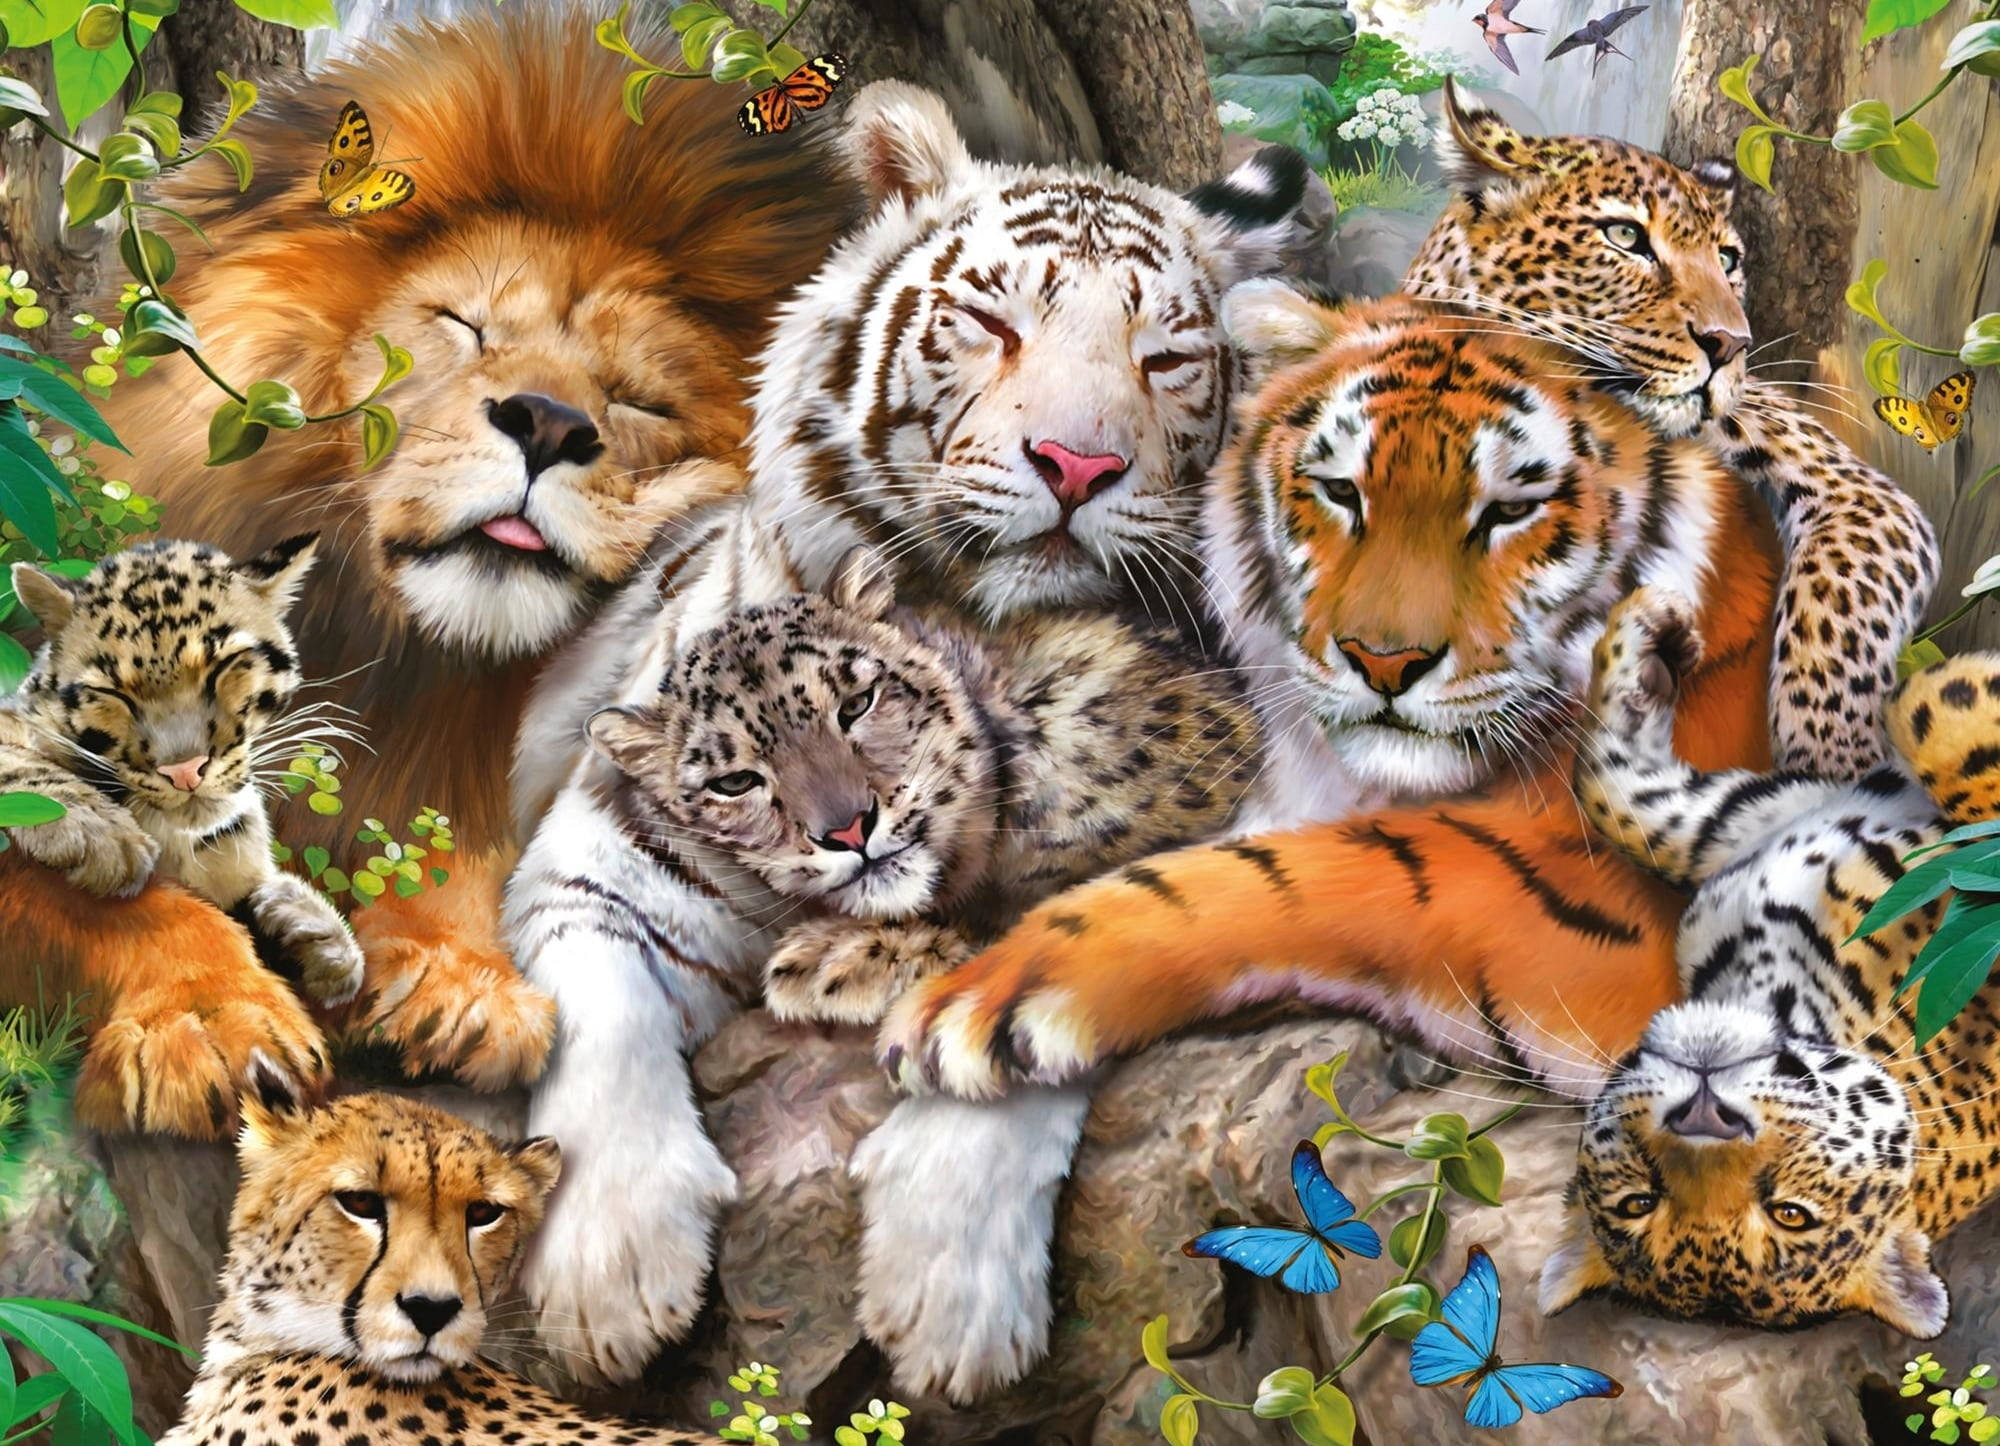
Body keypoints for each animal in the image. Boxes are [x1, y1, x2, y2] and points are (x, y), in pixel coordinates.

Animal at [1405, 77, 1939, 786]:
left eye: (1727, 259)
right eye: (1625, 236)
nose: (1731, 344)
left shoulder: (1860, 492)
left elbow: (1838, 609)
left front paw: (1833, 762)